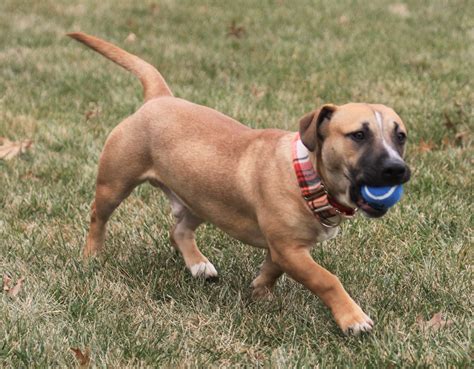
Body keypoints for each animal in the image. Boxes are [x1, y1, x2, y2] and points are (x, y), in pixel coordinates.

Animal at [68, 33, 410, 334]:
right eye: (358, 135)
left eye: (401, 136)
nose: (397, 169)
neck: (308, 176)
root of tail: (159, 97)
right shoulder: (290, 249)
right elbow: (326, 279)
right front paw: (352, 318)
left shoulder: (283, 248)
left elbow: (273, 268)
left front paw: (260, 290)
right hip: (115, 183)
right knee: (98, 216)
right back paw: (92, 255)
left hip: (201, 199)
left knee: (179, 230)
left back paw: (198, 264)